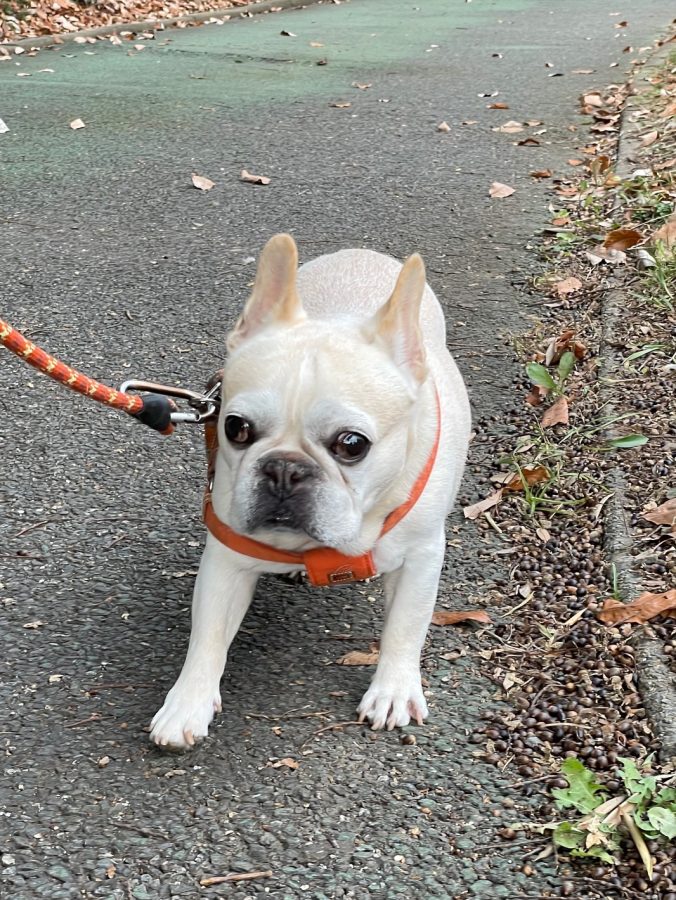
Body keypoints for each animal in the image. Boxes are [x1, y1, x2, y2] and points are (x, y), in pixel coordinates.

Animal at [150, 234, 471, 749]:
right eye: (236, 428)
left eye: (352, 444)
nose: (284, 469)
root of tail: (360, 253)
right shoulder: (227, 556)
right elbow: (208, 633)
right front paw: (187, 702)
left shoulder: (421, 557)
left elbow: (406, 625)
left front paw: (393, 689)